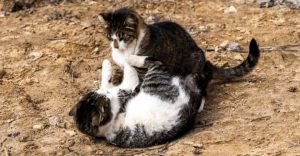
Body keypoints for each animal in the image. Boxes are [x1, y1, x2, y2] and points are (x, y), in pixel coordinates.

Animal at [69, 54, 203, 147]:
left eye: (99, 94)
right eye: (106, 101)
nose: (107, 94)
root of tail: (189, 104)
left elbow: (105, 83)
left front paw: (106, 64)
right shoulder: (128, 89)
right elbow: (129, 73)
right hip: (154, 79)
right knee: (155, 62)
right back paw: (130, 57)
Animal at [98, 7, 260, 111]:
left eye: (121, 37)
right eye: (110, 37)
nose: (114, 45)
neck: (126, 50)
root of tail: (206, 63)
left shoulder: (144, 71)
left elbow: (138, 85)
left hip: (194, 68)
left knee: (202, 90)